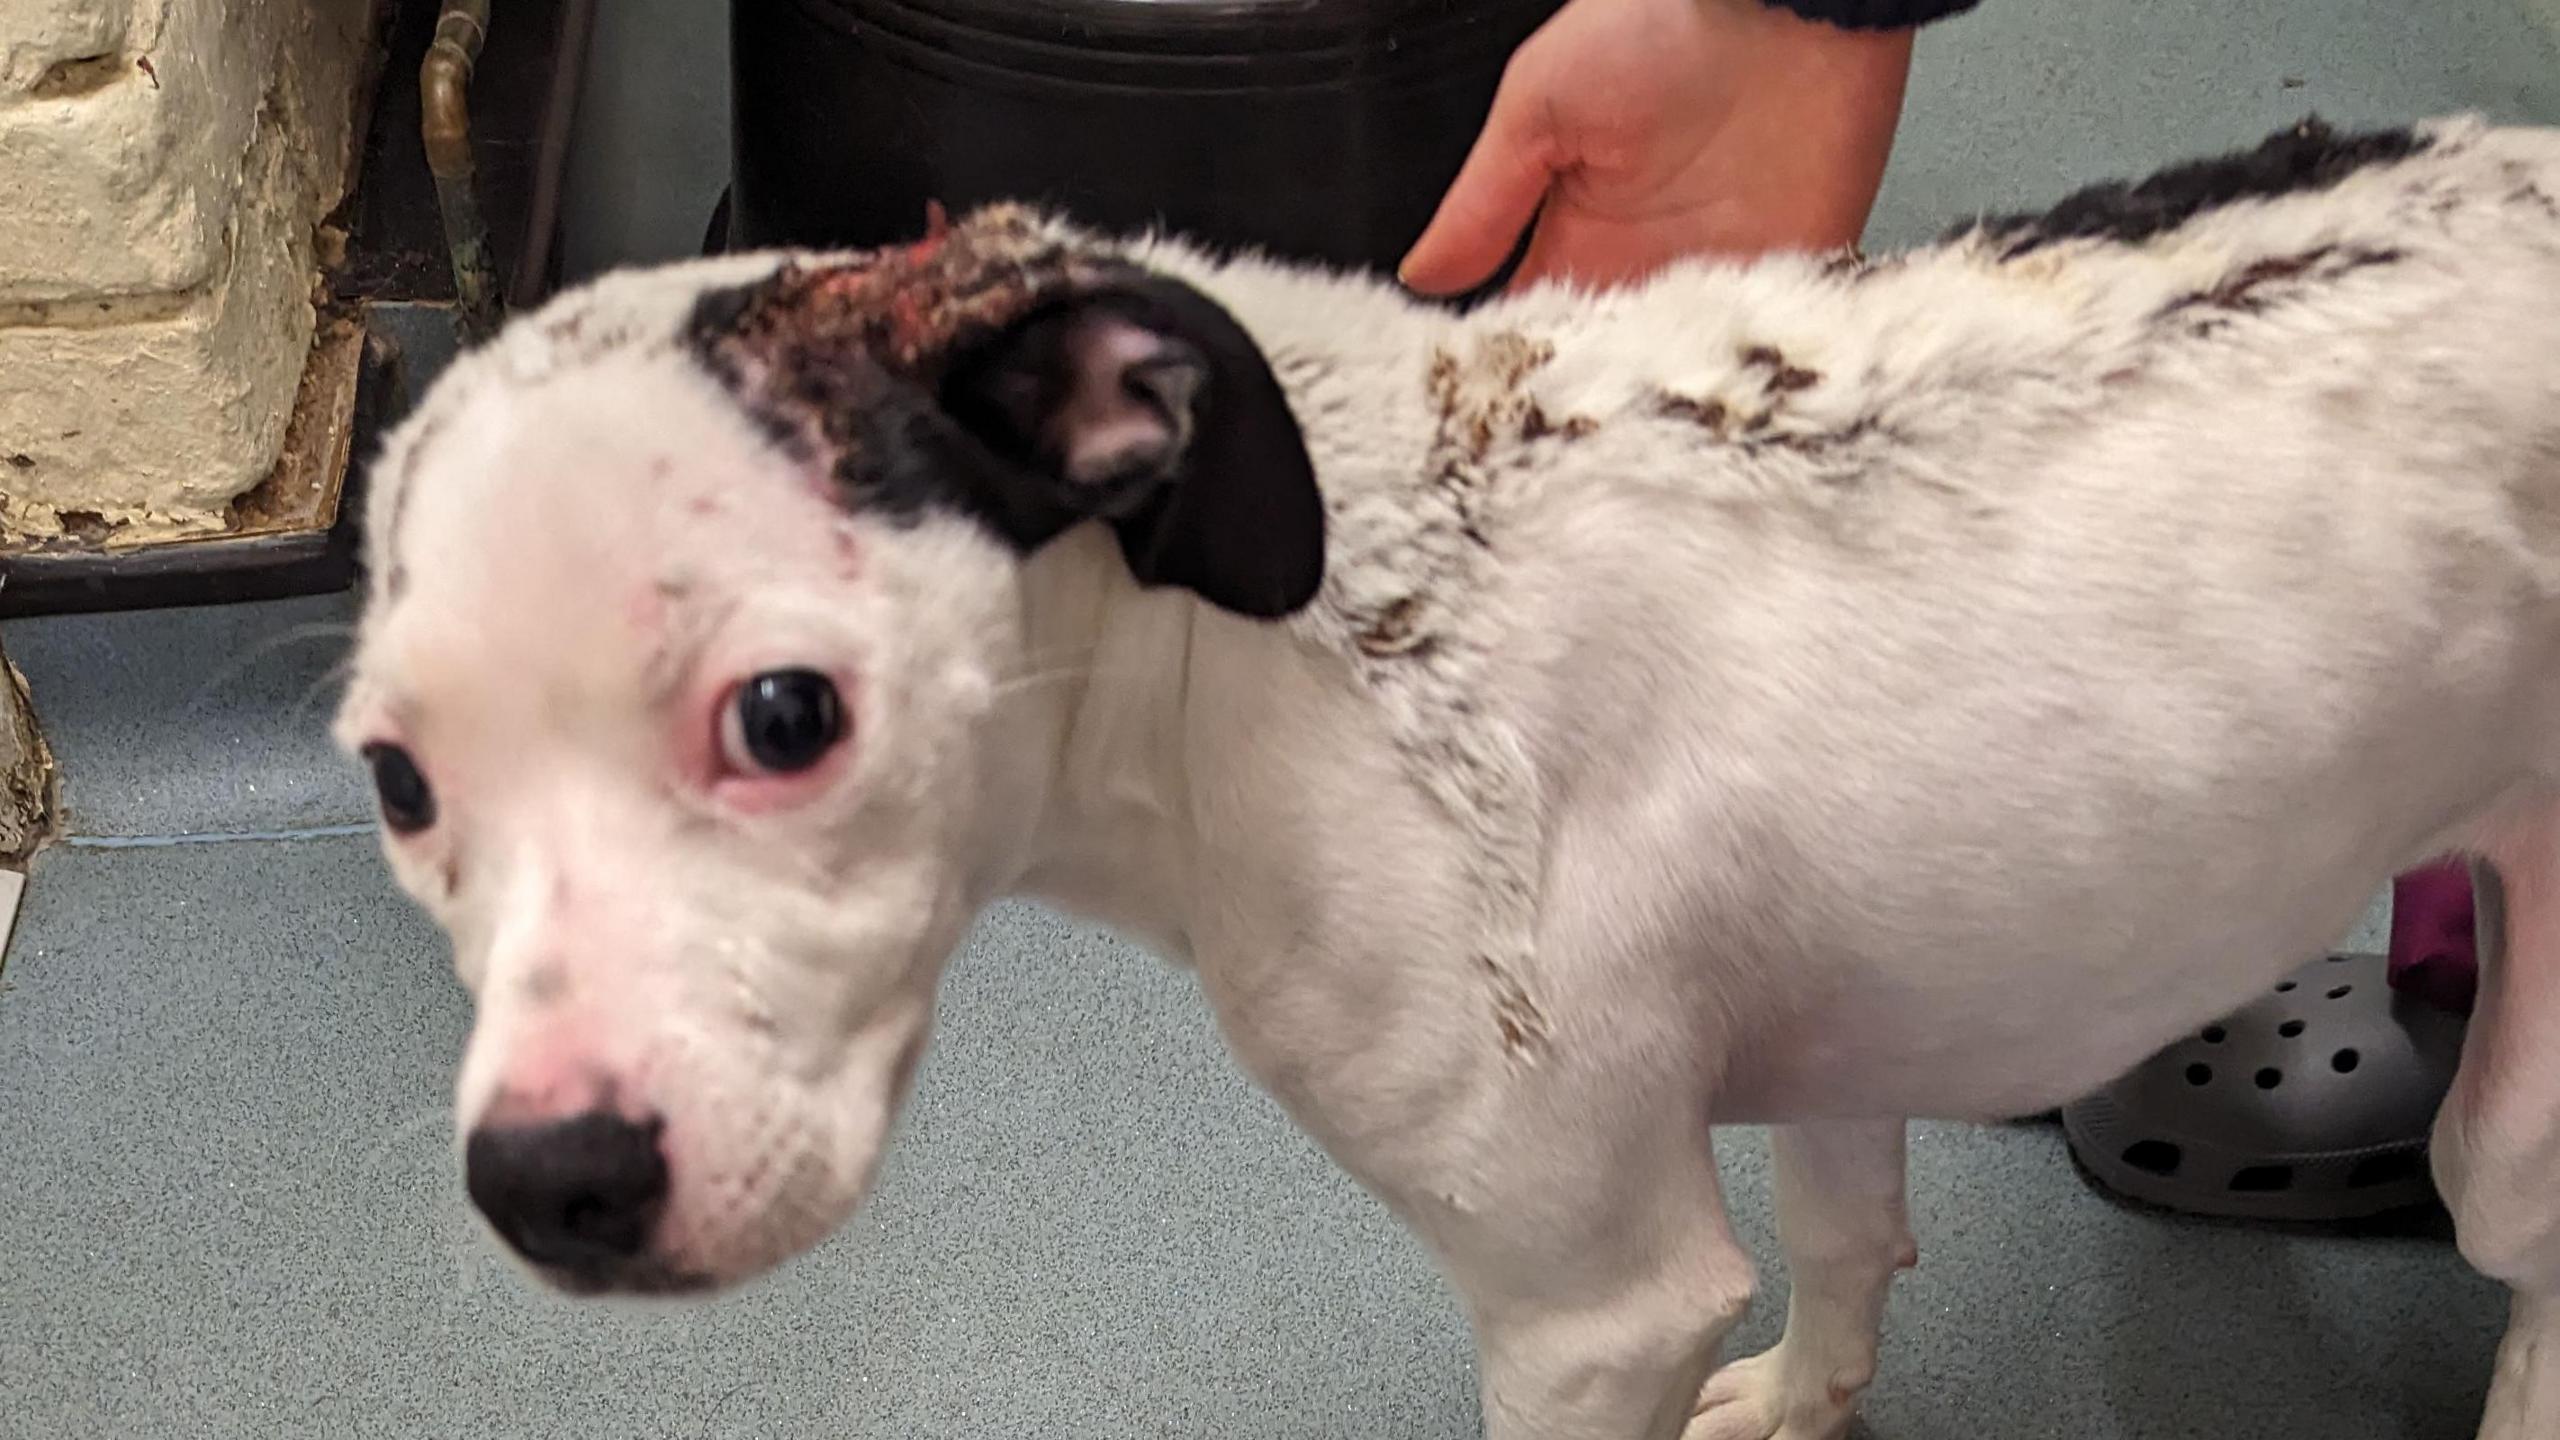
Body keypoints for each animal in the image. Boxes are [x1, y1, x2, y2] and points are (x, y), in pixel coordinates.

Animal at [335, 114, 2560, 1434]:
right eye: (394, 785)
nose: (548, 1183)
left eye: (786, 718)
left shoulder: (1591, 1311)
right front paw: (1810, 1398)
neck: (1265, 652)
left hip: (2522, 1106)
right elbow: (1847, 1245)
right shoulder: (1848, 1037)